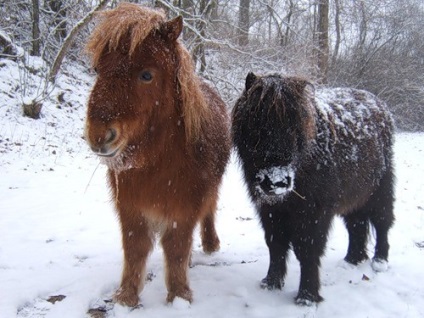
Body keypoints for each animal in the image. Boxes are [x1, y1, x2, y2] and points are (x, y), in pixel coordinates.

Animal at [84, 3, 230, 308]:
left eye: (146, 75)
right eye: (96, 69)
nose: (99, 136)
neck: (156, 161)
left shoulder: (184, 207)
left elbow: (175, 248)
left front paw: (179, 296)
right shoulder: (130, 206)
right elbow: (135, 248)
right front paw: (126, 296)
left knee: (210, 209)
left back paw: (210, 244)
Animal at [232, 72, 394, 306]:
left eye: (296, 128)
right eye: (255, 125)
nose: (276, 182)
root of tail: (379, 105)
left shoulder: (313, 213)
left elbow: (307, 250)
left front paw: (307, 296)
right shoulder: (270, 211)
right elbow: (276, 245)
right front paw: (271, 283)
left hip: (381, 189)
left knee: (382, 222)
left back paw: (379, 261)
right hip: (354, 195)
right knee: (357, 224)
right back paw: (353, 259)